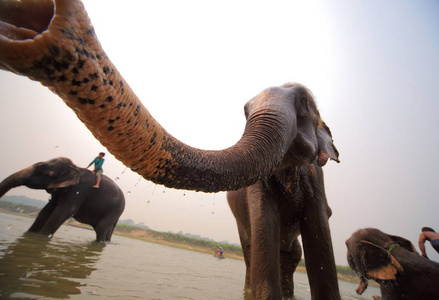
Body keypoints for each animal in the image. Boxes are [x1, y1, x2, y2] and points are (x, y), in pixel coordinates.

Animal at [0, 1, 340, 298]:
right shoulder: (257, 191)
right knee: (257, 253)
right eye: (245, 111)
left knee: (288, 255)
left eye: (304, 103)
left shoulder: (316, 185)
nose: (55, 25)